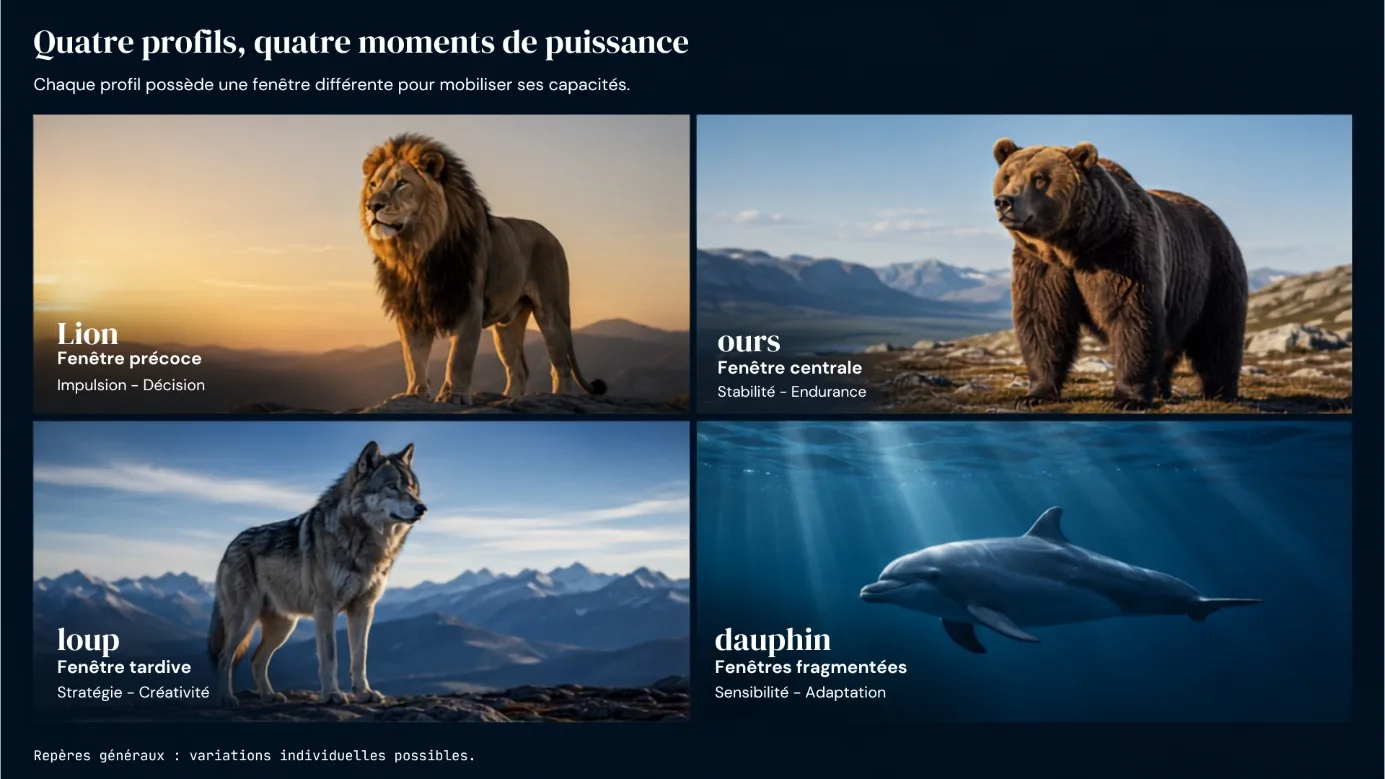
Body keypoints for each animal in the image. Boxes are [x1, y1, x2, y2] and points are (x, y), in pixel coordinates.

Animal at [207, 441, 426, 707]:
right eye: (392, 487)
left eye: (412, 488)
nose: (422, 507)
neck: (365, 542)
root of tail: (231, 544)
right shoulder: (326, 608)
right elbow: (330, 657)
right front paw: (332, 694)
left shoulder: (363, 608)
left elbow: (359, 658)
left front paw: (364, 693)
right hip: (244, 619)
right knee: (224, 658)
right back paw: (227, 698)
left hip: (284, 626)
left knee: (256, 659)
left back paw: (269, 695)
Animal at [360, 133, 607, 405]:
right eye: (373, 185)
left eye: (402, 183)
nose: (372, 206)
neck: (415, 251)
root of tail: (552, 236)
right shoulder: (410, 309)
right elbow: (413, 357)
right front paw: (414, 393)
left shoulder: (469, 302)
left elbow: (459, 357)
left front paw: (453, 396)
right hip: (507, 325)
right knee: (519, 369)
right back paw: (507, 398)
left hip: (552, 311)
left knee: (561, 365)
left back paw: (559, 397)